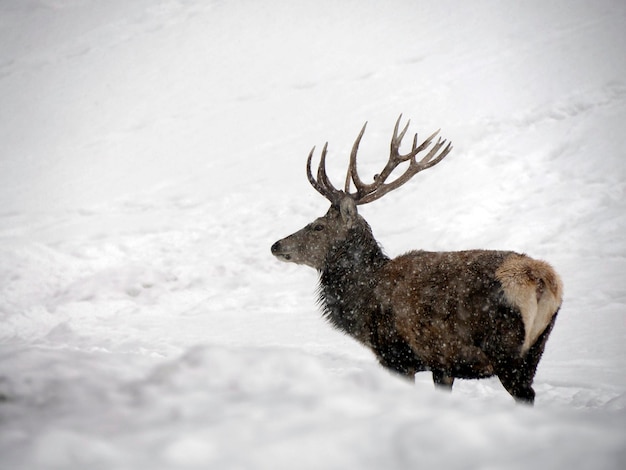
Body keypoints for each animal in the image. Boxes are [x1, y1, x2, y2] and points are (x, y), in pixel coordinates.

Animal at [270, 116, 564, 404]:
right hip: (535, 349)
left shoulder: (397, 355)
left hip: (506, 351)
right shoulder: (442, 363)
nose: (275, 245)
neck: (363, 301)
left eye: (318, 226)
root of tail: (543, 279)